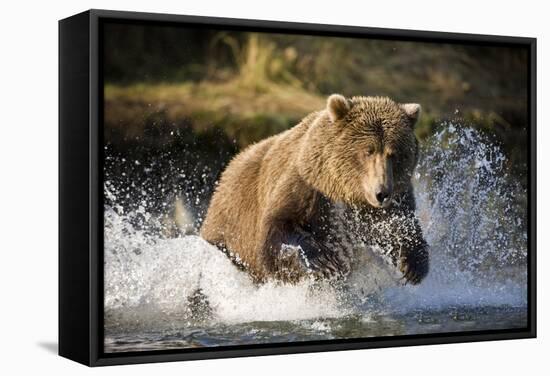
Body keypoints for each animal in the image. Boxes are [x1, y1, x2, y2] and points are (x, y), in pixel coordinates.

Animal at [202, 94, 432, 284]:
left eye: (394, 153)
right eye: (368, 151)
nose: (381, 193)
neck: (343, 191)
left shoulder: (394, 201)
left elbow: (400, 227)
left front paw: (412, 265)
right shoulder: (306, 186)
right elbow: (277, 230)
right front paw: (323, 261)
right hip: (229, 225)